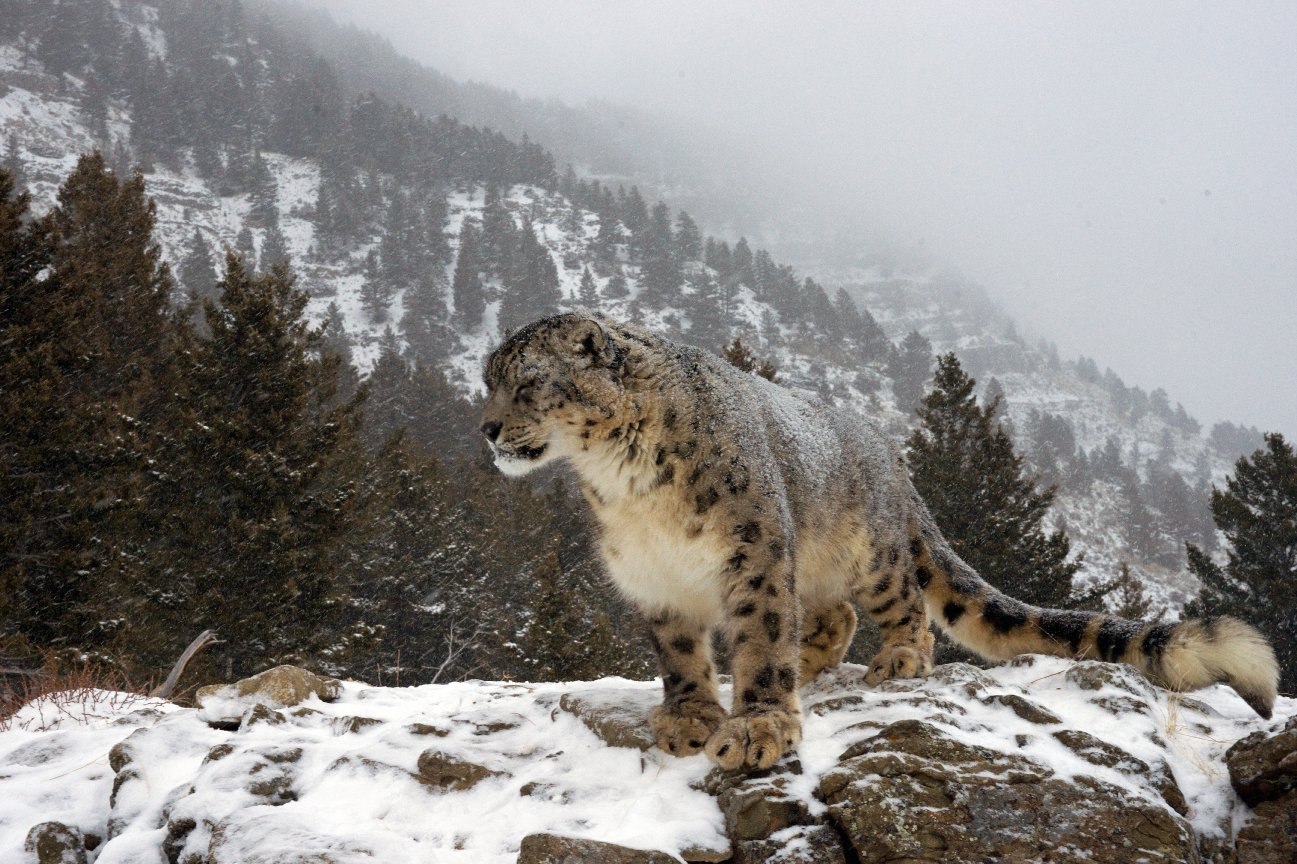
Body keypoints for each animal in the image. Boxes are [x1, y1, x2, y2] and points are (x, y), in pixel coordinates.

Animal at [482, 312, 1281, 767]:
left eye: (527, 382)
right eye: (490, 380)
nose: (485, 428)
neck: (622, 484)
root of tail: (890, 456)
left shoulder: (752, 553)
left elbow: (760, 636)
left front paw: (757, 726)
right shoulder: (653, 577)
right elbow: (679, 656)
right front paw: (689, 716)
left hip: (867, 554)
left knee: (899, 607)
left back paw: (896, 658)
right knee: (829, 616)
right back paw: (809, 665)